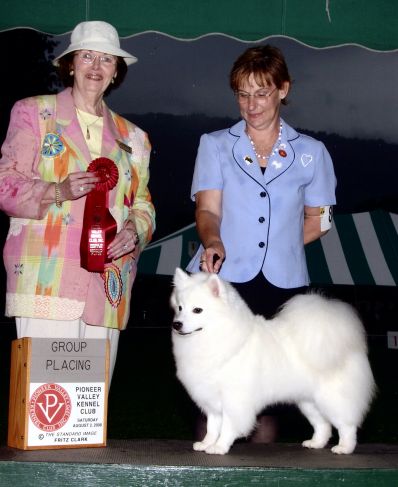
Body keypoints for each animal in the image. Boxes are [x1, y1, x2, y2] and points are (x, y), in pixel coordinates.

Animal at [171, 268, 376, 456]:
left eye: (197, 310)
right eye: (180, 308)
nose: (177, 324)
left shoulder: (234, 400)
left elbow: (228, 427)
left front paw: (219, 447)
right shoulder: (212, 401)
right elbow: (212, 427)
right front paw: (206, 444)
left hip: (332, 399)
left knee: (346, 424)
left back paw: (344, 448)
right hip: (308, 402)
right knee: (322, 424)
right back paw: (315, 443)